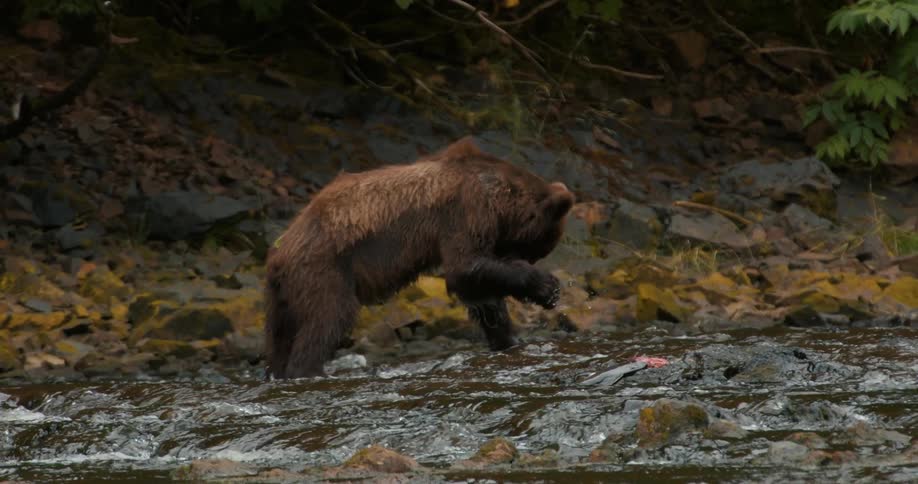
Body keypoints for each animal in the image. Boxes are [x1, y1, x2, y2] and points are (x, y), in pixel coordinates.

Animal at [264, 136, 575, 379]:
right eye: (533, 251)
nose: (526, 261)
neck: (500, 197)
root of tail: (279, 252)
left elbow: (479, 292)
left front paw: (507, 338)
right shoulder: (466, 211)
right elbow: (465, 267)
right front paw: (546, 287)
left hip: (285, 293)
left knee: (282, 336)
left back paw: (280, 370)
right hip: (324, 269)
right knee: (329, 318)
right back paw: (308, 369)